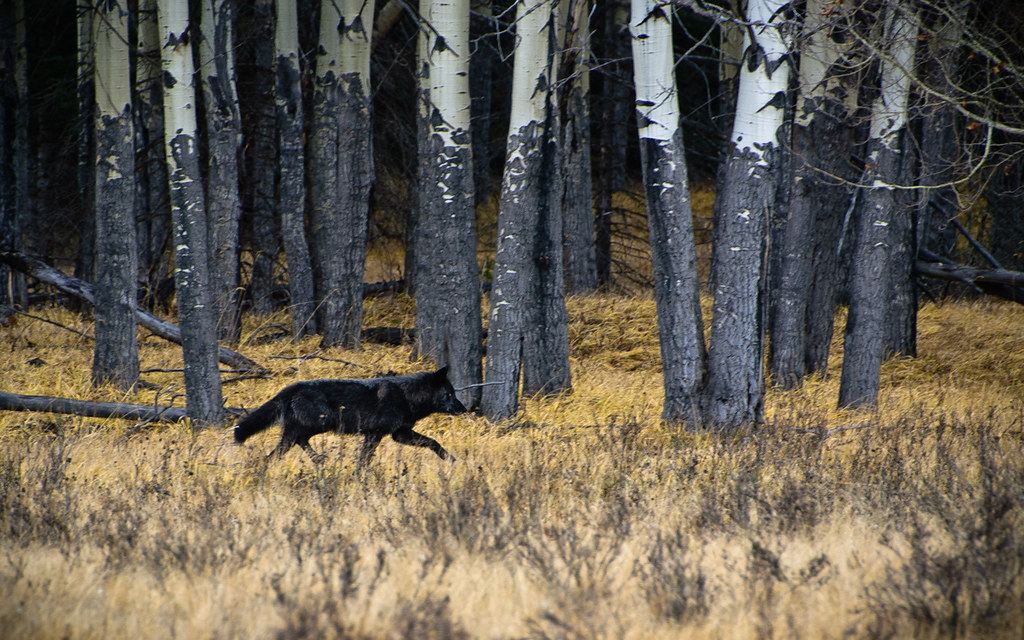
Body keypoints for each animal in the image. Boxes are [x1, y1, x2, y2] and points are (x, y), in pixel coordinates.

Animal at [233, 367, 466, 466]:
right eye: (450, 394)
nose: (463, 409)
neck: (407, 396)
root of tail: (291, 388)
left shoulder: (398, 434)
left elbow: (433, 442)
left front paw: (452, 460)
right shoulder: (377, 434)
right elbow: (364, 459)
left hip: (306, 429)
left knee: (285, 448)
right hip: (321, 423)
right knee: (295, 441)